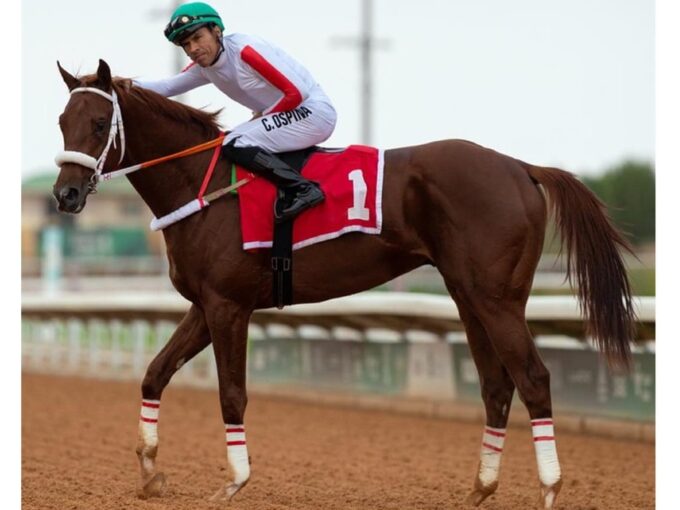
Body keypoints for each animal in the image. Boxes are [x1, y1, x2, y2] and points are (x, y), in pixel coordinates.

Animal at [54, 61, 636, 508]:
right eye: (62, 120)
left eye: (100, 121)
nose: (65, 194)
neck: (206, 184)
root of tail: (520, 166)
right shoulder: (204, 306)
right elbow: (154, 375)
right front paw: (151, 471)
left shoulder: (228, 306)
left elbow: (232, 394)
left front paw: (235, 481)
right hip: (468, 296)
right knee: (497, 386)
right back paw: (481, 487)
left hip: (498, 299)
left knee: (534, 378)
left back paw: (550, 488)